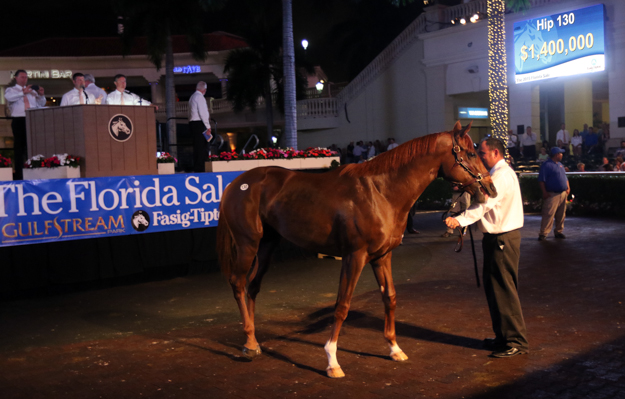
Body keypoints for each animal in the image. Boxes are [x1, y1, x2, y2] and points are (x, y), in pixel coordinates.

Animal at [217, 122, 494, 378]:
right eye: (471, 153)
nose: (490, 189)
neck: (380, 193)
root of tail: (236, 183)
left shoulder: (382, 256)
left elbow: (390, 297)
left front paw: (394, 348)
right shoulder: (354, 256)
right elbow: (342, 305)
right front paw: (332, 361)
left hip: (267, 244)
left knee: (253, 286)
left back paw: (253, 342)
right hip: (247, 243)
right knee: (238, 283)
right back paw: (249, 342)